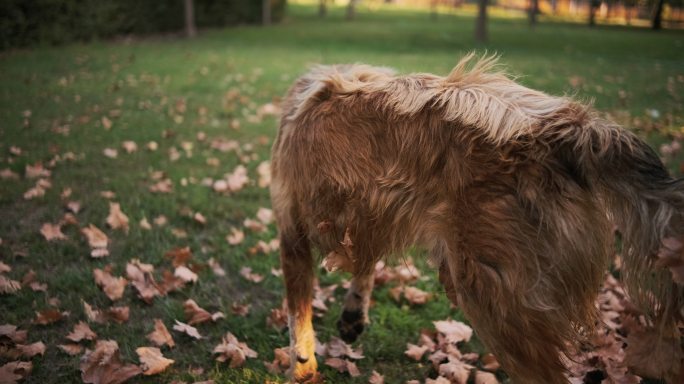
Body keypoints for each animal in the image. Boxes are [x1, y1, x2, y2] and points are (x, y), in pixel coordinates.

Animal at [270, 54, 680, 384]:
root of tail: (567, 129)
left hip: (489, 297)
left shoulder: (292, 232)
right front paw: (353, 313)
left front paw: (303, 370)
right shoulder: (367, 221)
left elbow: (298, 323)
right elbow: (364, 265)